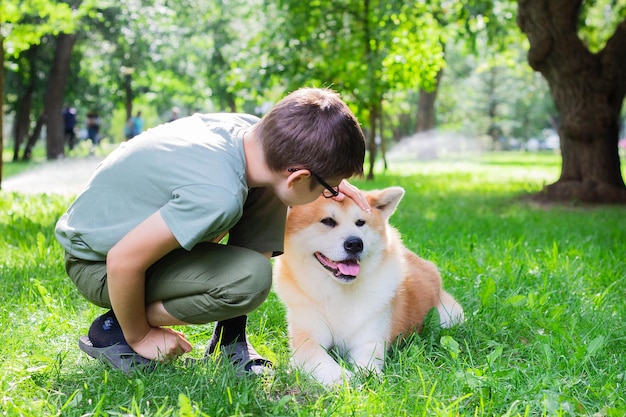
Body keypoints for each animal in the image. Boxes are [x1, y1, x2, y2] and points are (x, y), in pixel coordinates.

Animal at [274, 185, 464, 384]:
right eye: (327, 221)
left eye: (360, 222)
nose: (355, 243)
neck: (339, 294)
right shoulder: (307, 339)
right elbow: (322, 361)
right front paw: (343, 378)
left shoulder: (370, 338)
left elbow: (368, 359)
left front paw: (368, 375)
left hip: (450, 316)